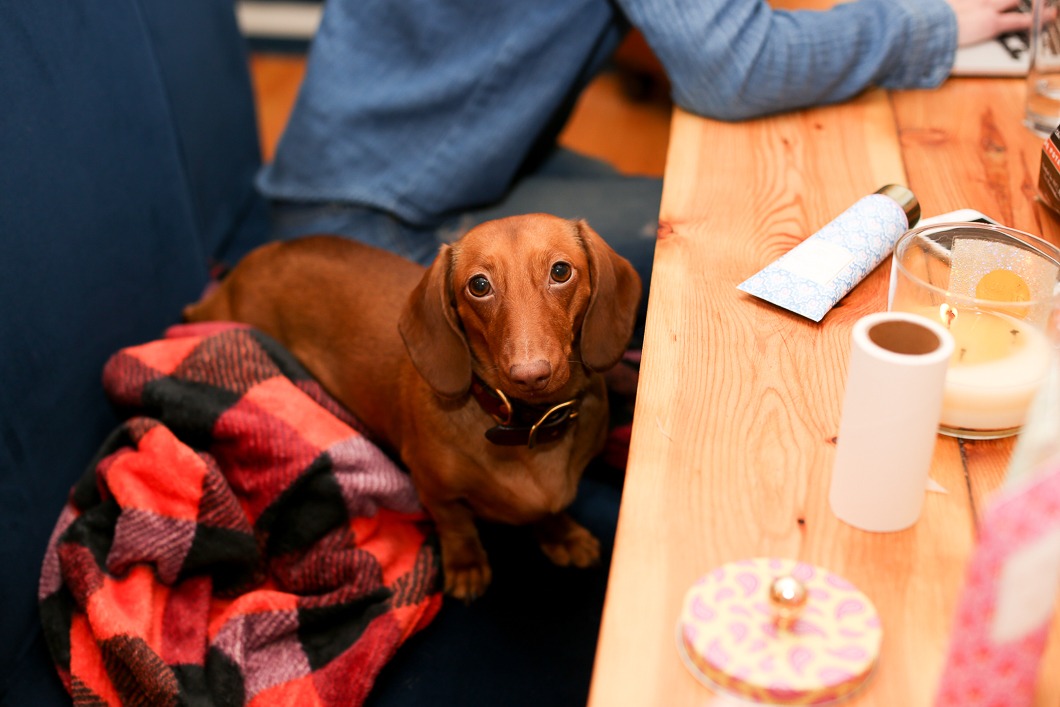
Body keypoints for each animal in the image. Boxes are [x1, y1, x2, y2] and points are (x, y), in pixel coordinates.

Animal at [183, 213, 640, 602]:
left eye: (561, 272)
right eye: (479, 285)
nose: (529, 375)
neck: (528, 424)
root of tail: (238, 272)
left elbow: (552, 508)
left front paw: (561, 534)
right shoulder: (433, 489)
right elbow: (456, 526)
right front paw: (467, 566)